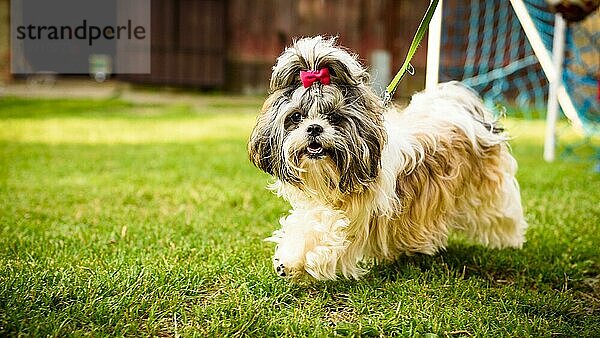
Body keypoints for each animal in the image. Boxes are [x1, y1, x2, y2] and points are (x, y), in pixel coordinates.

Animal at [246, 36, 528, 280]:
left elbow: (328, 229)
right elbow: (308, 222)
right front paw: (288, 257)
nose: (314, 128)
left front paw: (293, 260)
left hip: (489, 193)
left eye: (334, 117)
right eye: (297, 117)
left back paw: (510, 241)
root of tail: (459, 110)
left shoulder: (355, 219)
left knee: (501, 214)